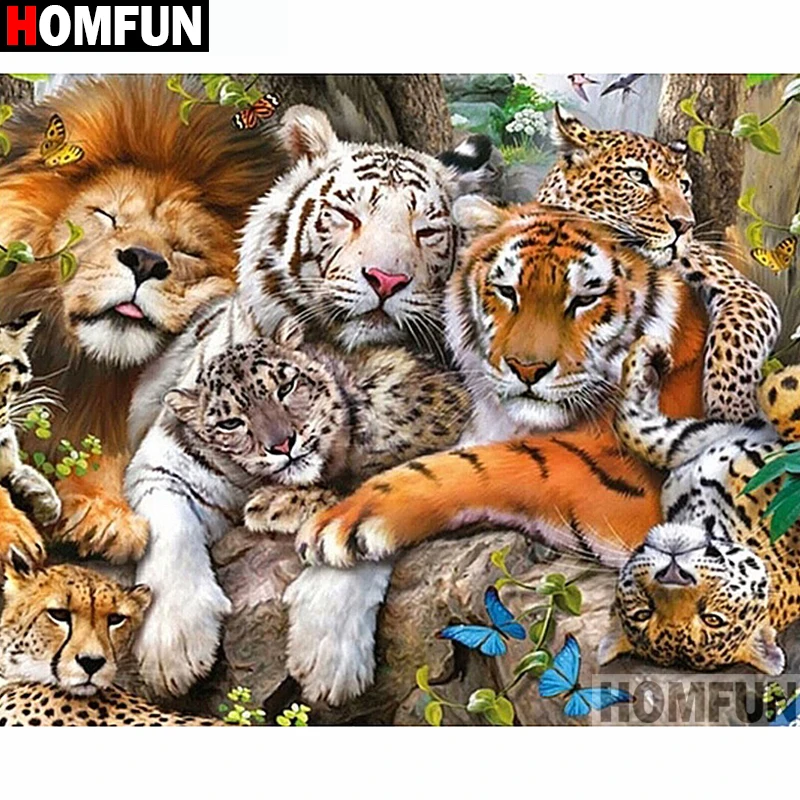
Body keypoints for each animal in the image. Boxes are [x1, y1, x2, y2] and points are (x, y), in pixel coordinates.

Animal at [124, 104, 494, 698]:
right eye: (347, 214)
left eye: (427, 230)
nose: (386, 279)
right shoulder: (166, 459)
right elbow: (168, 529)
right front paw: (173, 646)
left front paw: (327, 654)